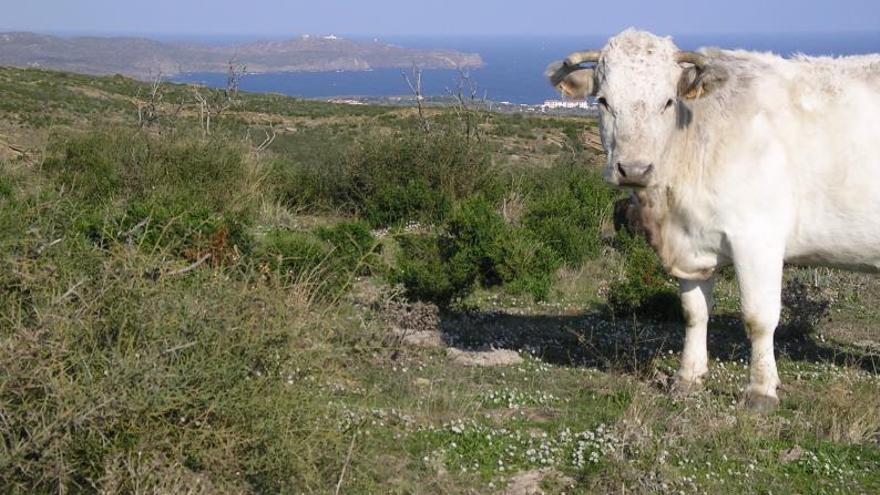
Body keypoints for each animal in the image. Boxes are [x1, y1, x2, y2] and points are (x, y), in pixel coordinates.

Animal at [548, 29, 880, 412]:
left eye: (667, 102)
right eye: (602, 101)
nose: (633, 169)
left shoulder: (758, 237)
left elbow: (759, 318)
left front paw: (761, 391)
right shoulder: (691, 244)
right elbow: (694, 312)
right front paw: (688, 378)